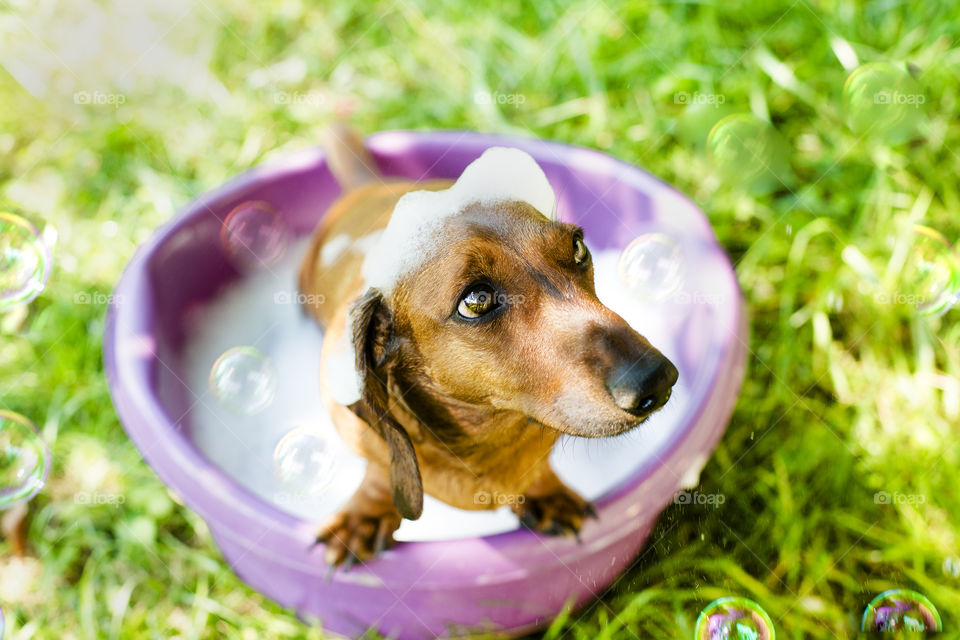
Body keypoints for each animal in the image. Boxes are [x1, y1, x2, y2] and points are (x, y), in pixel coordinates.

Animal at [296, 126, 680, 564]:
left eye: (578, 247)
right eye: (476, 300)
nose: (657, 379)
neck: (485, 435)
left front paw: (546, 492)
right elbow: (378, 472)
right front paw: (364, 516)